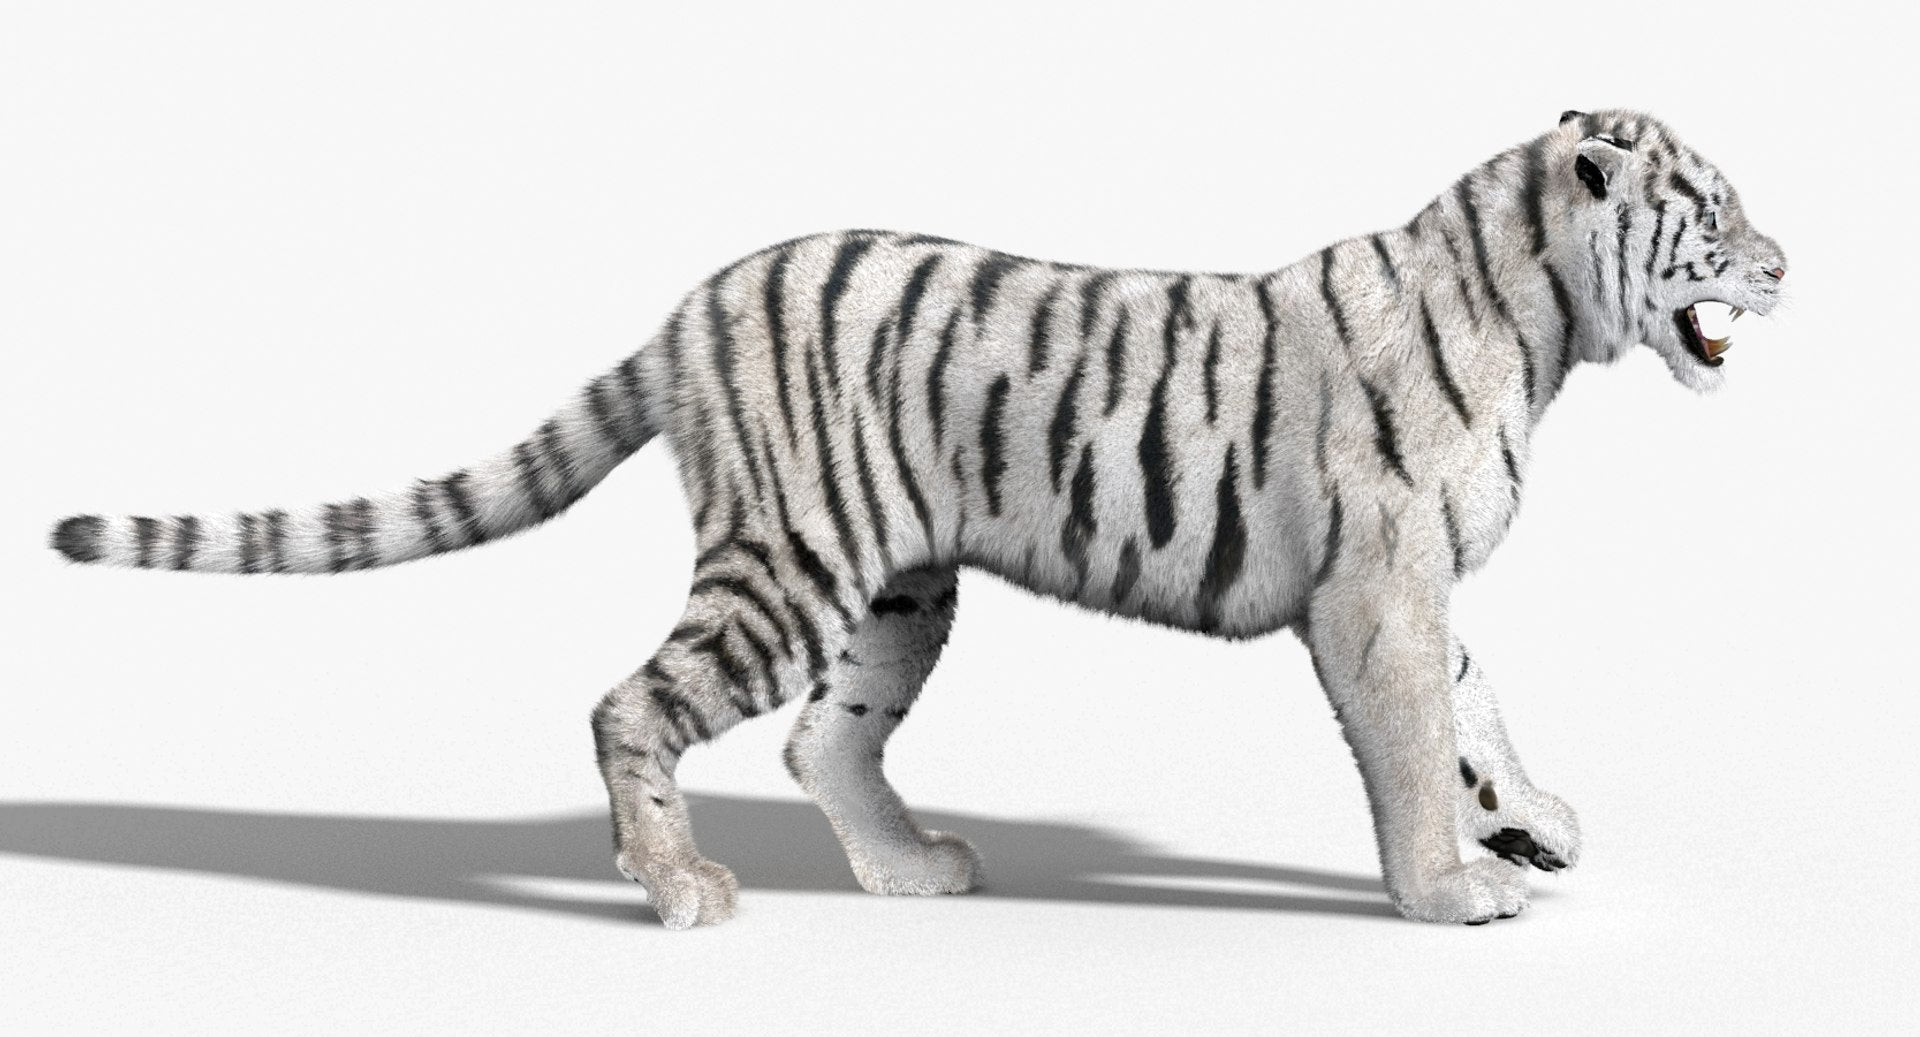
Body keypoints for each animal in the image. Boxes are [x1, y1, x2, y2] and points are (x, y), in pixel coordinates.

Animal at [50, 108, 1787, 928]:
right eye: (1714, 211)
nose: (1788, 264)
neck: (1546, 319)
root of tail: (692, 302)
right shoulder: (1377, 587)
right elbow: (1423, 740)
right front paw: (1451, 888)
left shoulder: (1414, 584)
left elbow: (1482, 705)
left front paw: (1536, 818)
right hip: (789, 565)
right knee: (633, 700)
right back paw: (676, 888)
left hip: (896, 587)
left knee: (823, 740)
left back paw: (905, 872)